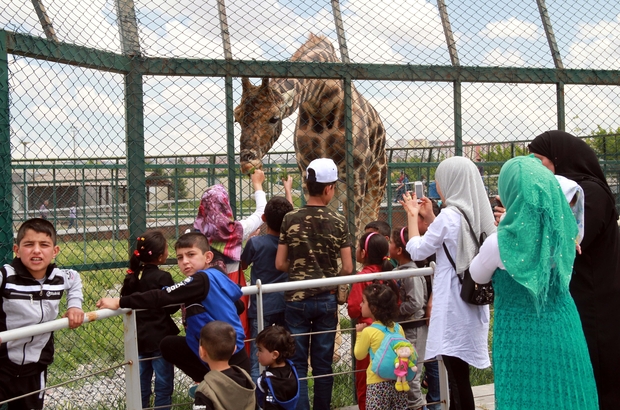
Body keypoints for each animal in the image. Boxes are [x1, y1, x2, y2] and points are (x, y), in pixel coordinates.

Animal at [234, 35, 388, 240]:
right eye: (237, 117)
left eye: (274, 118)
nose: (247, 163)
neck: (321, 101)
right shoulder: (307, 171)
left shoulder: (356, 175)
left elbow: (353, 235)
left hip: (376, 182)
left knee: (369, 221)